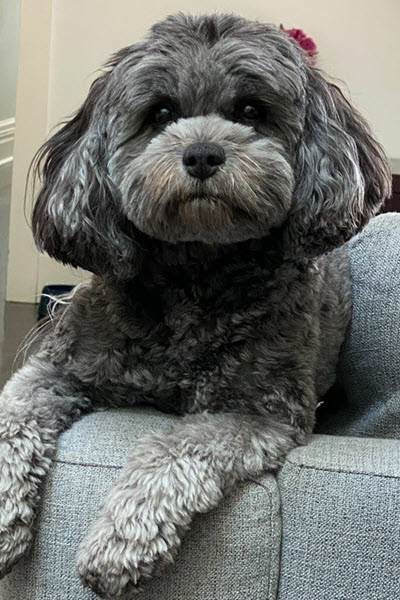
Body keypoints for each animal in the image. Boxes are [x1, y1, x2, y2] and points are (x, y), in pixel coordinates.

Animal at [0, 10, 390, 600]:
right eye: (161, 113)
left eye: (250, 111)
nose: (203, 154)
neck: (195, 271)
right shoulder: (54, 368)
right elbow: (13, 417)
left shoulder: (259, 414)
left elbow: (178, 448)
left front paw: (122, 541)